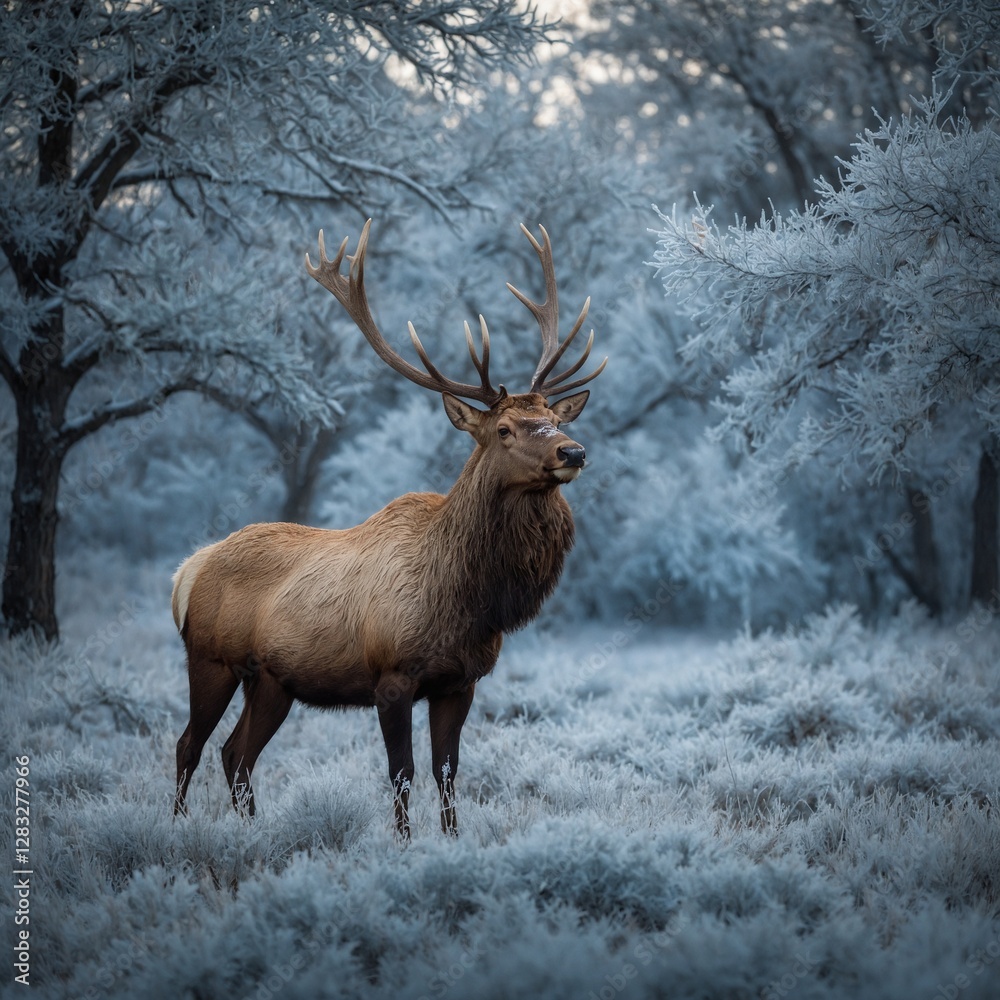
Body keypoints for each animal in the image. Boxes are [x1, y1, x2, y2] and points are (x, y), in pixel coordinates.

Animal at [171, 219, 606, 838]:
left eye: (552, 416)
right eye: (504, 429)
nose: (573, 451)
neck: (469, 599)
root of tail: (189, 569)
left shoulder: (460, 681)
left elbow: (448, 772)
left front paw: (452, 840)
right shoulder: (392, 678)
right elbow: (403, 775)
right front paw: (404, 846)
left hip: (272, 681)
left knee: (236, 753)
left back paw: (253, 831)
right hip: (210, 659)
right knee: (190, 744)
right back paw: (179, 826)